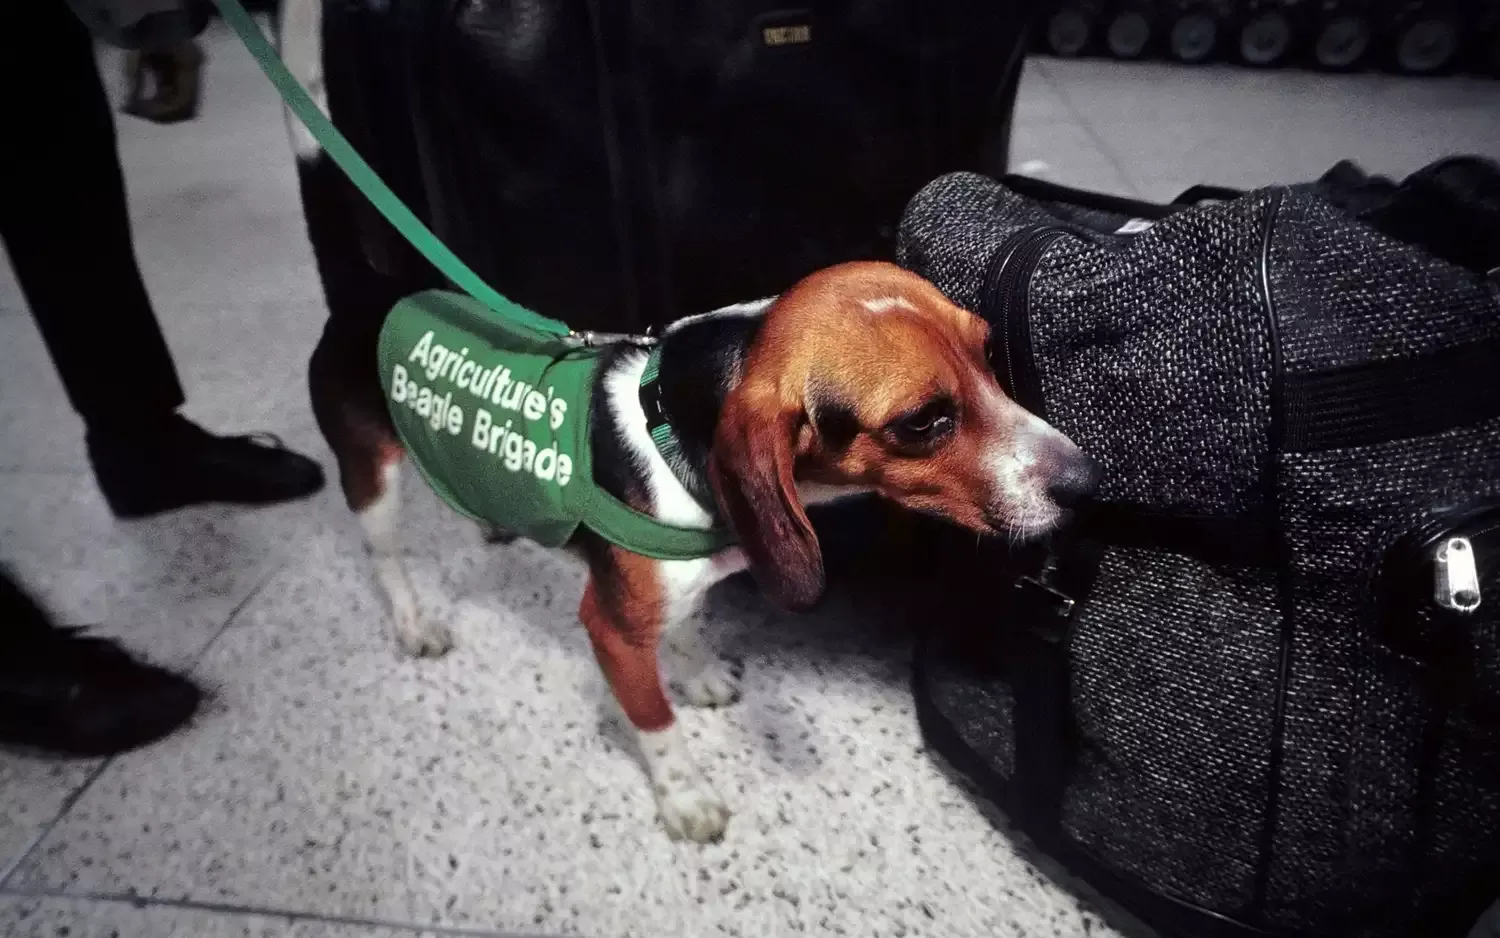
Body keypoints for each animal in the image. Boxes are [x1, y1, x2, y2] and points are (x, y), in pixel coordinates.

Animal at [283, 0, 1104, 840]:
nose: (1087, 481)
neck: (672, 426)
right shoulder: (609, 630)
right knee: (386, 556)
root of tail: (366, 287)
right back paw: (414, 620)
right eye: (921, 422)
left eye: (987, 354)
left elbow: (685, 628)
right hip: (374, 479)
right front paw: (684, 797)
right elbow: (655, 722)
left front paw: (696, 669)